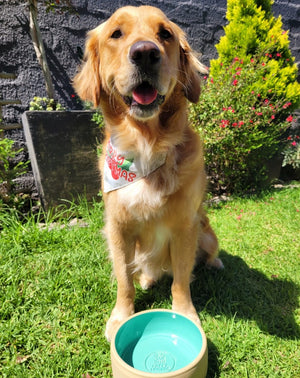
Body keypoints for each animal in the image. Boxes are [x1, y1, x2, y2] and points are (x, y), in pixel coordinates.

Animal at [72, 4, 223, 342]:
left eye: (165, 34)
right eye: (116, 33)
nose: (144, 53)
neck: (146, 147)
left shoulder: (186, 226)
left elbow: (181, 279)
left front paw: (185, 314)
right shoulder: (117, 228)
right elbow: (123, 280)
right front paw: (121, 316)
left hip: (207, 232)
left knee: (206, 254)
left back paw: (216, 263)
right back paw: (147, 279)